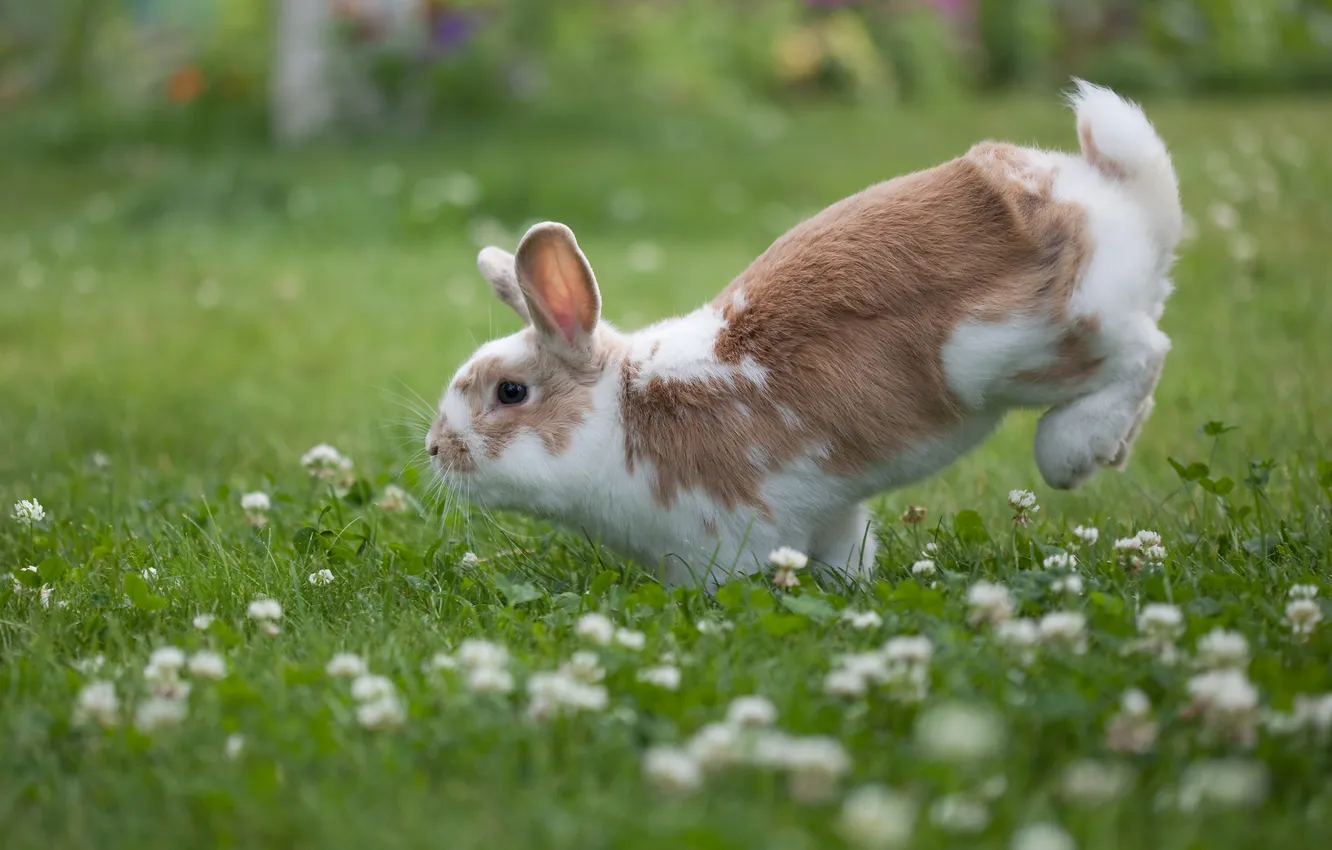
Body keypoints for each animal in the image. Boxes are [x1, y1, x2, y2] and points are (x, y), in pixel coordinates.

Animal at [427, 80, 1181, 590]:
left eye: (511, 393)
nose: (435, 449)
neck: (623, 412)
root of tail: (1114, 198)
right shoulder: (829, 514)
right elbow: (847, 552)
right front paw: (851, 589)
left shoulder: (725, 537)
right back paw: (1109, 449)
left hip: (1021, 349)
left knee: (1145, 352)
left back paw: (1072, 452)